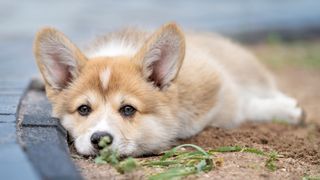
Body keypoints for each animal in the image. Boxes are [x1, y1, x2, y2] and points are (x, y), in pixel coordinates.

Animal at [33, 22, 304, 156]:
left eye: (128, 109)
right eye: (84, 109)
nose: (100, 139)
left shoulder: (219, 84)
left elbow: (241, 105)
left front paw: (285, 111)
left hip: (248, 70)